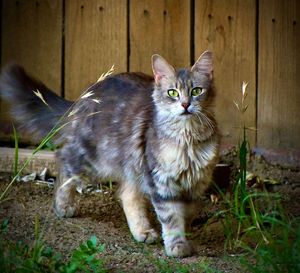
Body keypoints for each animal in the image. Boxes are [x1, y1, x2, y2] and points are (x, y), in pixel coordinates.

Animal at [0, 51, 220, 258]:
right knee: (63, 160)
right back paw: (63, 206)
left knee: (127, 195)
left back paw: (142, 232)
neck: (188, 139)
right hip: (93, 157)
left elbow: (186, 215)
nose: (185, 105)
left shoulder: (196, 183)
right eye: (172, 93)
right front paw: (177, 246)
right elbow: (172, 218)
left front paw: (186, 239)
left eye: (196, 91)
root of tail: (85, 96)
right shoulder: (162, 182)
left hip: (131, 164)